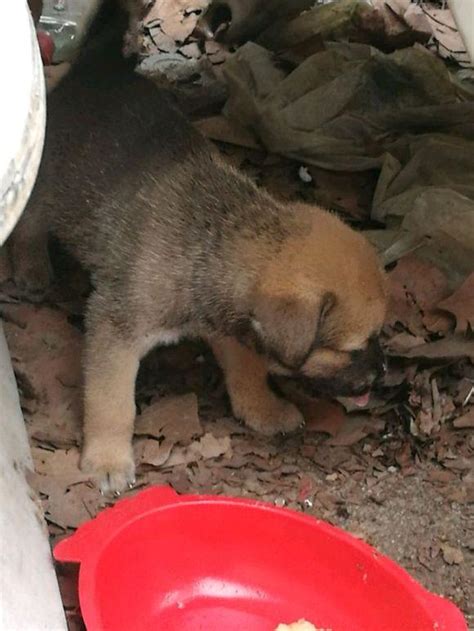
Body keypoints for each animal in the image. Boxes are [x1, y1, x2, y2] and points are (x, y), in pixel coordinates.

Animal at [8, 8, 388, 494]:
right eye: (353, 349)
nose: (381, 374)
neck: (217, 239)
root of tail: (99, 66)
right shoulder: (115, 330)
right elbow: (113, 403)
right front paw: (108, 459)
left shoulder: (230, 328)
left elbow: (247, 369)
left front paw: (263, 409)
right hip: (46, 178)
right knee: (30, 222)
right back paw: (31, 269)